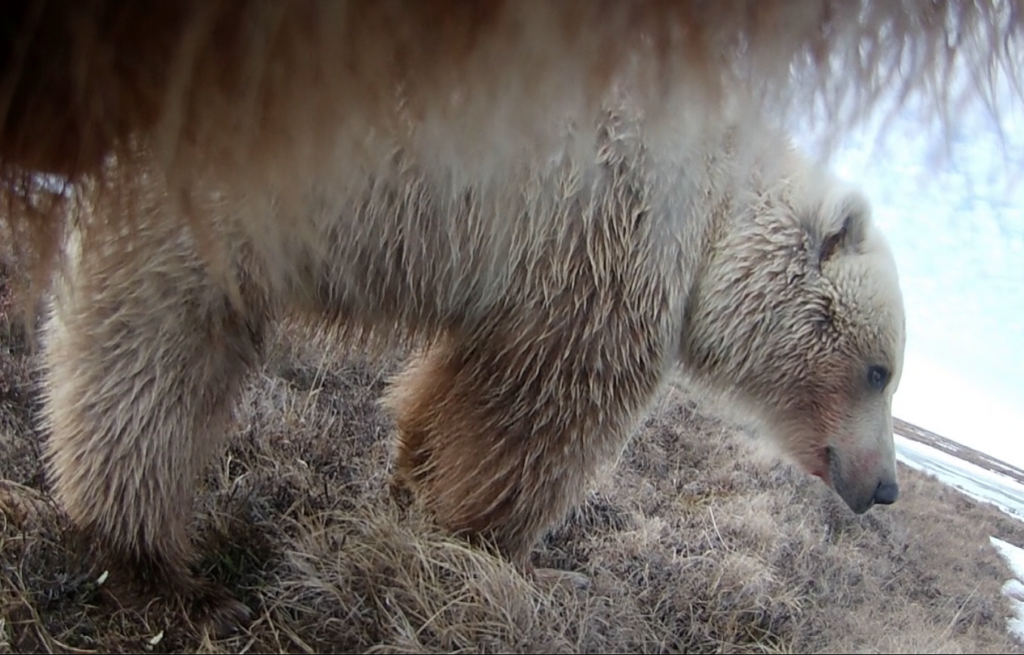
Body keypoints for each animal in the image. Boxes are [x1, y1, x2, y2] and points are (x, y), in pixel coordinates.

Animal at [34, 99, 906, 633]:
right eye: (882, 369)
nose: (887, 486)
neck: (717, 205)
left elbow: (456, 390)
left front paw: (409, 486)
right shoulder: (601, 238)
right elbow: (539, 410)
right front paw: (524, 564)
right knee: (152, 357)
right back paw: (166, 572)